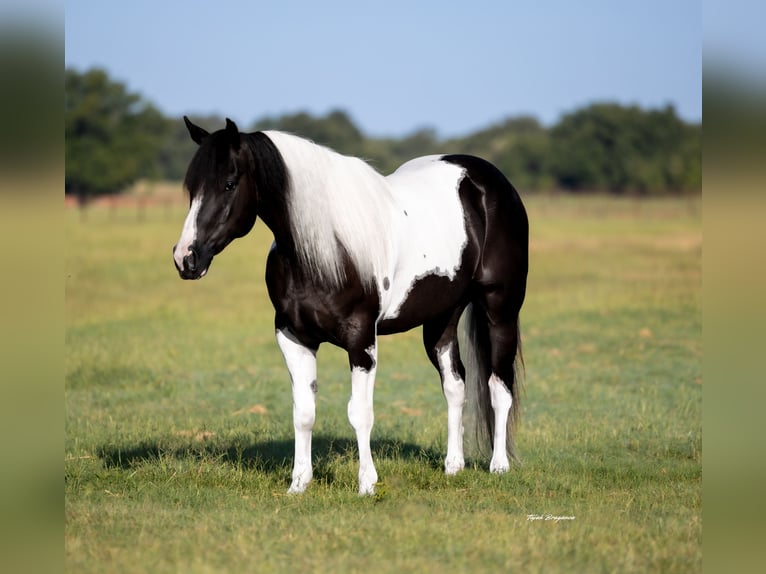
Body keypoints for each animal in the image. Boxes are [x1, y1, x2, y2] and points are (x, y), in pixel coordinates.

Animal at [173, 117, 528, 495]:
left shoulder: (361, 341)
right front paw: (299, 484)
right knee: (455, 386)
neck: (324, 248)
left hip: (500, 311)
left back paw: (499, 465)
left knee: (499, 386)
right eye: (191, 187)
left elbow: (360, 413)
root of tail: (488, 179)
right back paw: (453, 467)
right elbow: (303, 412)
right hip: (441, 318)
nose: (186, 259)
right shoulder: (293, 337)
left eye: (228, 184)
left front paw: (367, 484)